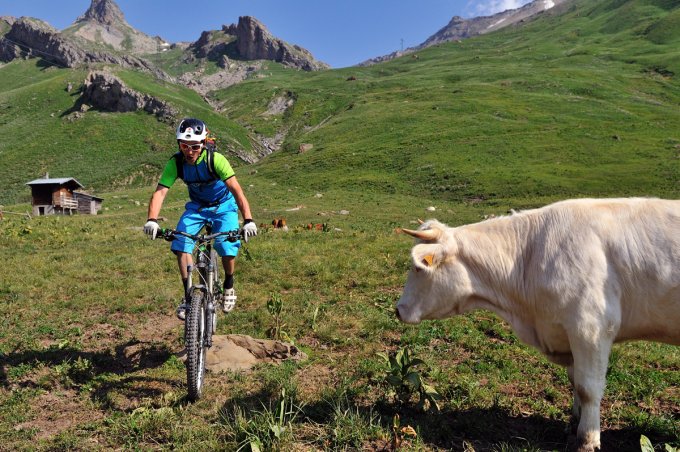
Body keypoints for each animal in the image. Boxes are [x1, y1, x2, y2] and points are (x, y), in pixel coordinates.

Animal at [396, 199, 676, 452]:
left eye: (418, 268)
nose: (398, 310)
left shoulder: (591, 328)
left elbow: (588, 387)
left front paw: (588, 439)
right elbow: (575, 381)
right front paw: (573, 425)